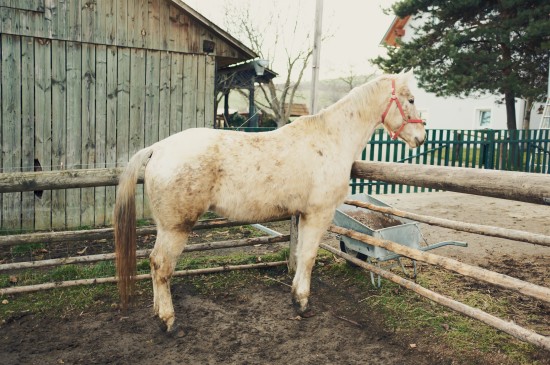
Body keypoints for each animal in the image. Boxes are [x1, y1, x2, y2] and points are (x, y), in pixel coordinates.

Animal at [115, 71, 426, 332]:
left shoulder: (304, 215)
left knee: (154, 263)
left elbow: (300, 255)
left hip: (166, 227)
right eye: (411, 99)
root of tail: (158, 148)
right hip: (176, 228)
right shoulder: (318, 214)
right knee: (161, 266)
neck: (330, 139)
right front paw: (302, 303)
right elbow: (309, 257)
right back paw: (168, 320)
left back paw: (158, 312)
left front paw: (296, 297)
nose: (421, 137)